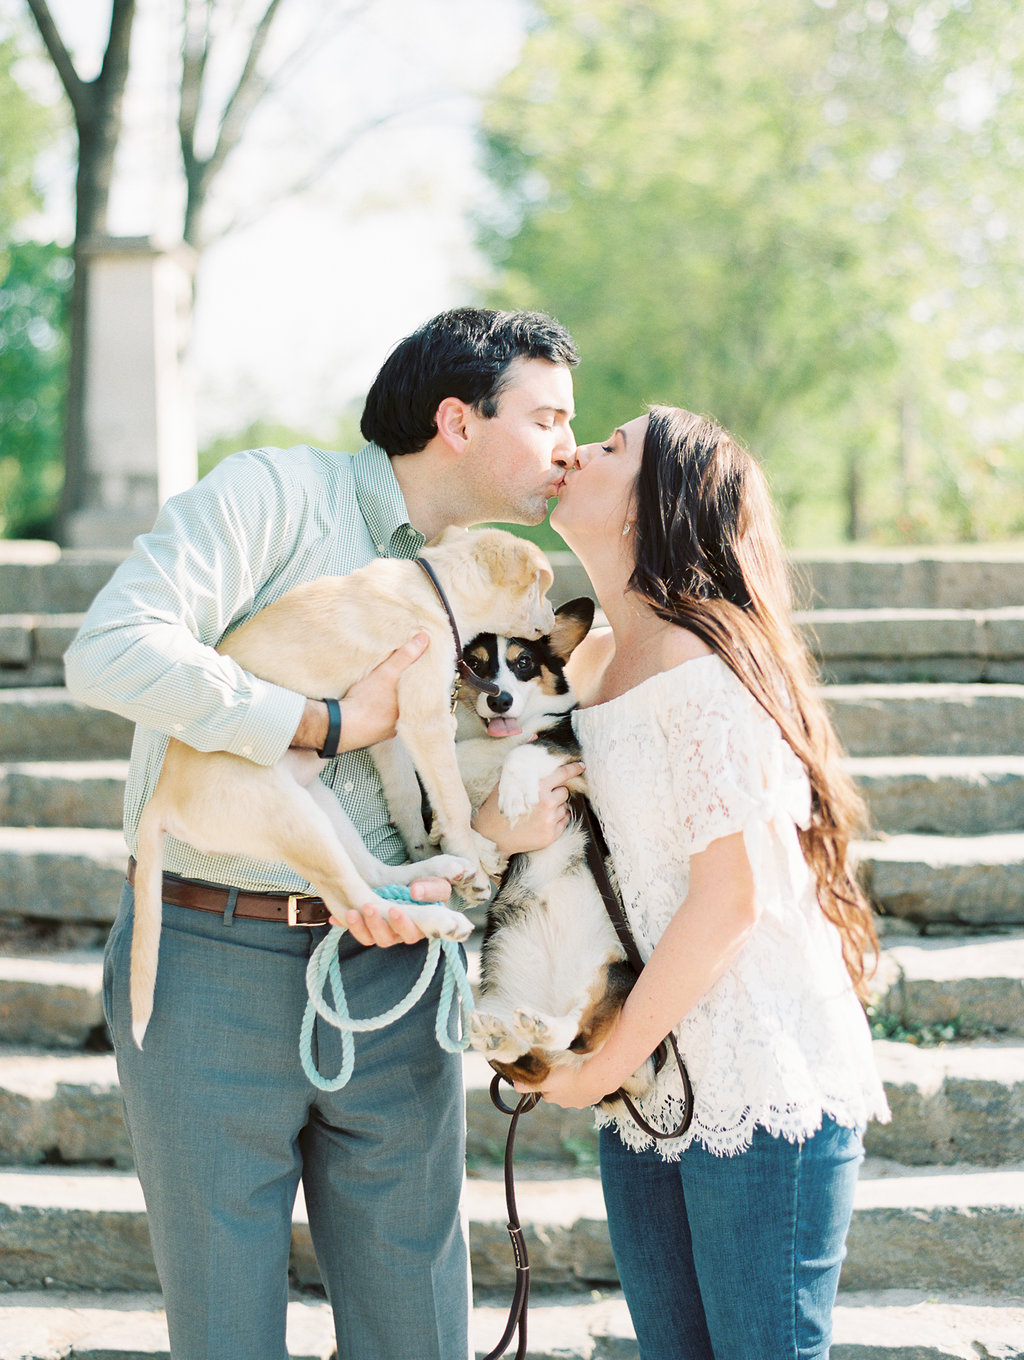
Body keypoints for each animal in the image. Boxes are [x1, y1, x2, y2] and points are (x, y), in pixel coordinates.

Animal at [131, 524, 554, 1044]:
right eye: (542, 587)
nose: (552, 621)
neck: (430, 591)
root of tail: (161, 797)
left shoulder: (389, 731)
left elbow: (411, 798)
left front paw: (465, 849)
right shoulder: (425, 718)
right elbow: (451, 797)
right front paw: (472, 859)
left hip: (319, 803)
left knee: (370, 875)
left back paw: (436, 870)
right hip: (293, 819)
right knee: (351, 900)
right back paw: (437, 915)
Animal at [454, 601, 655, 1109]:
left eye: (524, 663)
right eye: (476, 665)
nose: (501, 701)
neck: (495, 738)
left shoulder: (567, 755)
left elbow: (525, 754)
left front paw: (515, 793)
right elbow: (456, 806)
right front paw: (483, 855)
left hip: (618, 972)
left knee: (581, 1034)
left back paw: (546, 1026)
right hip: (496, 1003)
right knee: (530, 1065)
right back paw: (502, 1036)